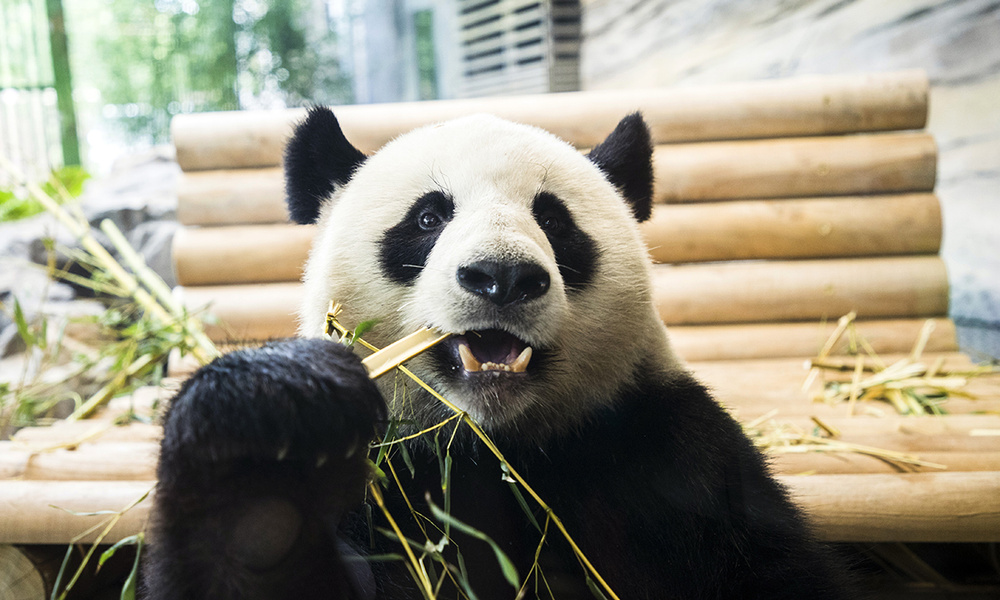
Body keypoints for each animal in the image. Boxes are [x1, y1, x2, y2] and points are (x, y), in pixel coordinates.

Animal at [144, 108, 856, 599]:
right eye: (428, 218)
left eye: (555, 220)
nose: (503, 276)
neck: (491, 441)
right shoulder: (383, 488)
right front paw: (265, 414)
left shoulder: (664, 452)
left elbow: (773, 568)